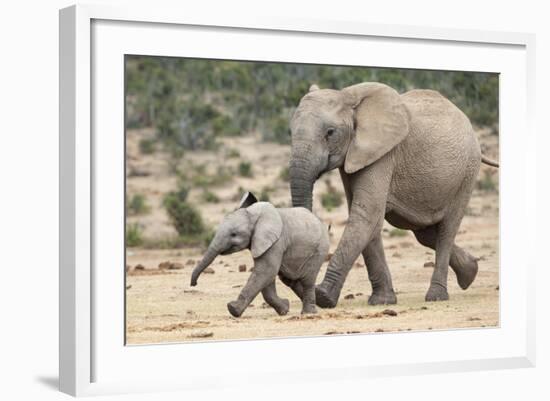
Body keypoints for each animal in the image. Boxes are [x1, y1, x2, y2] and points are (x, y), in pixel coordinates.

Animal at [191, 192, 328, 318]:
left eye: (234, 234)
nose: (194, 284)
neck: (253, 215)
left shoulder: (276, 242)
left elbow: (266, 271)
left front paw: (232, 309)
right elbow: (267, 277)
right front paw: (284, 309)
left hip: (318, 250)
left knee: (307, 280)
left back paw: (308, 313)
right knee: (290, 280)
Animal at [292, 82, 502, 306]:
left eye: (330, 132)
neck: (348, 96)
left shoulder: (383, 153)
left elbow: (366, 214)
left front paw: (323, 297)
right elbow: (369, 219)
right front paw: (382, 301)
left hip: (466, 173)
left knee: (447, 229)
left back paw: (436, 296)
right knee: (425, 234)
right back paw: (470, 272)